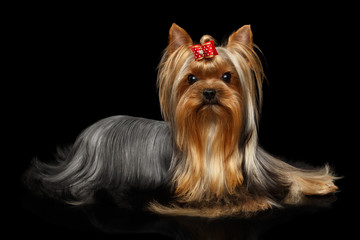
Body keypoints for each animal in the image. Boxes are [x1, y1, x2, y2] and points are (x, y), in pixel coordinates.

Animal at [23, 23, 338, 218]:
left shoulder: (263, 168)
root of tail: (89, 133)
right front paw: (254, 201)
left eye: (227, 76)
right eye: (191, 79)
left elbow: (290, 173)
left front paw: (320, 184)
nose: (209, 91)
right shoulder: (180, 196)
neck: (211, 129)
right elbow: (221, 203)